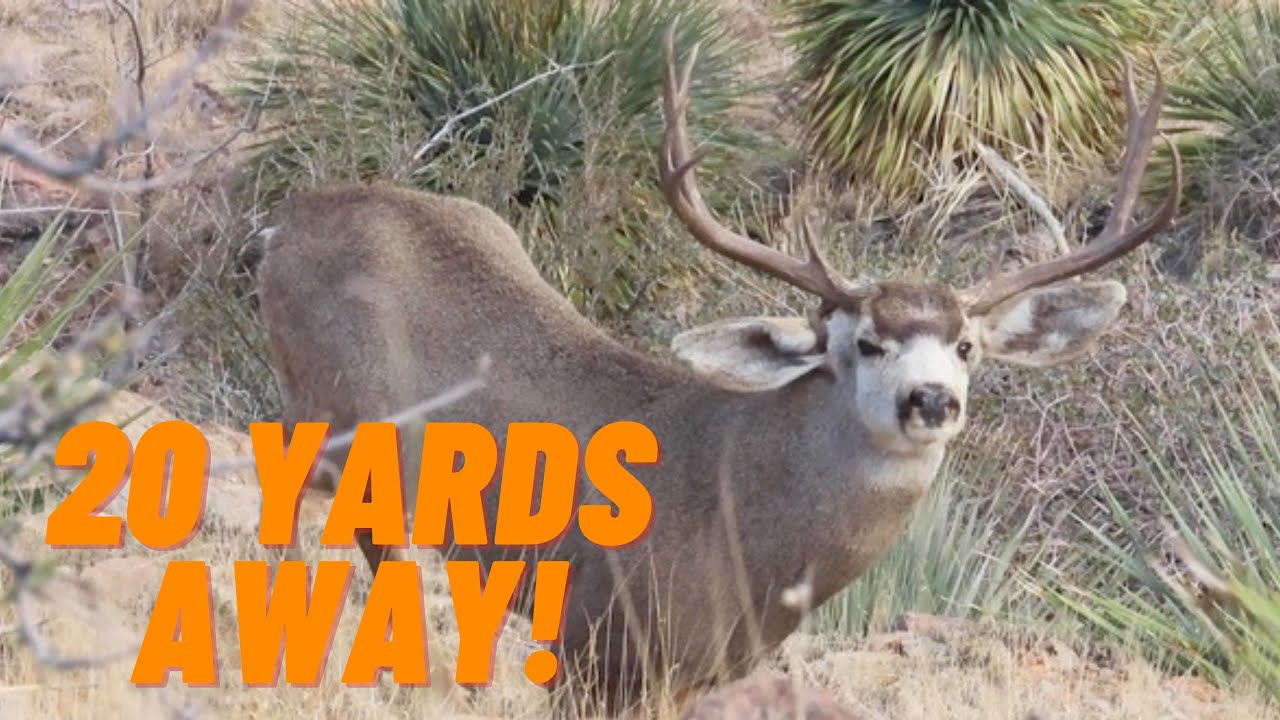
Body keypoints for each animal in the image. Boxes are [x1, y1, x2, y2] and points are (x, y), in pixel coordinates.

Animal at [253, 28, 1181, 720]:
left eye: (967, 347)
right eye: (864, 343)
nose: (932, 401)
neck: (741, 531)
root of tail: (289, 217)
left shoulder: (703, 673)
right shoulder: (594, 638)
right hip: (339, 425)